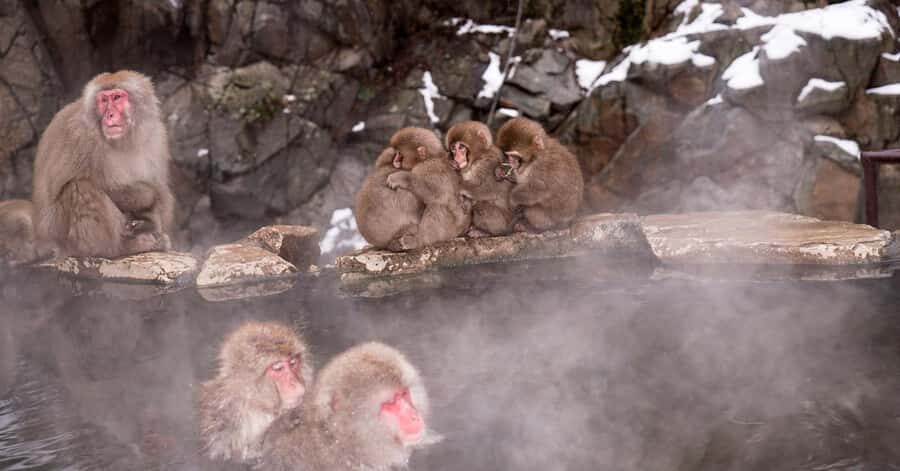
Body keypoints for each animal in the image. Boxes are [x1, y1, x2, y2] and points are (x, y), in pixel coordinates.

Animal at [31, 70, 175, 259]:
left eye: (117, 97)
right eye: (104, 100)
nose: (109, 115)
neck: (123, 141)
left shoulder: (157, 135)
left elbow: (160, 189)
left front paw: (151, 221)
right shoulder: (81, 135)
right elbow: (108, 185)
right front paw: (149, 196)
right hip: (62, 238)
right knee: (80, 186)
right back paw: (118, 248)